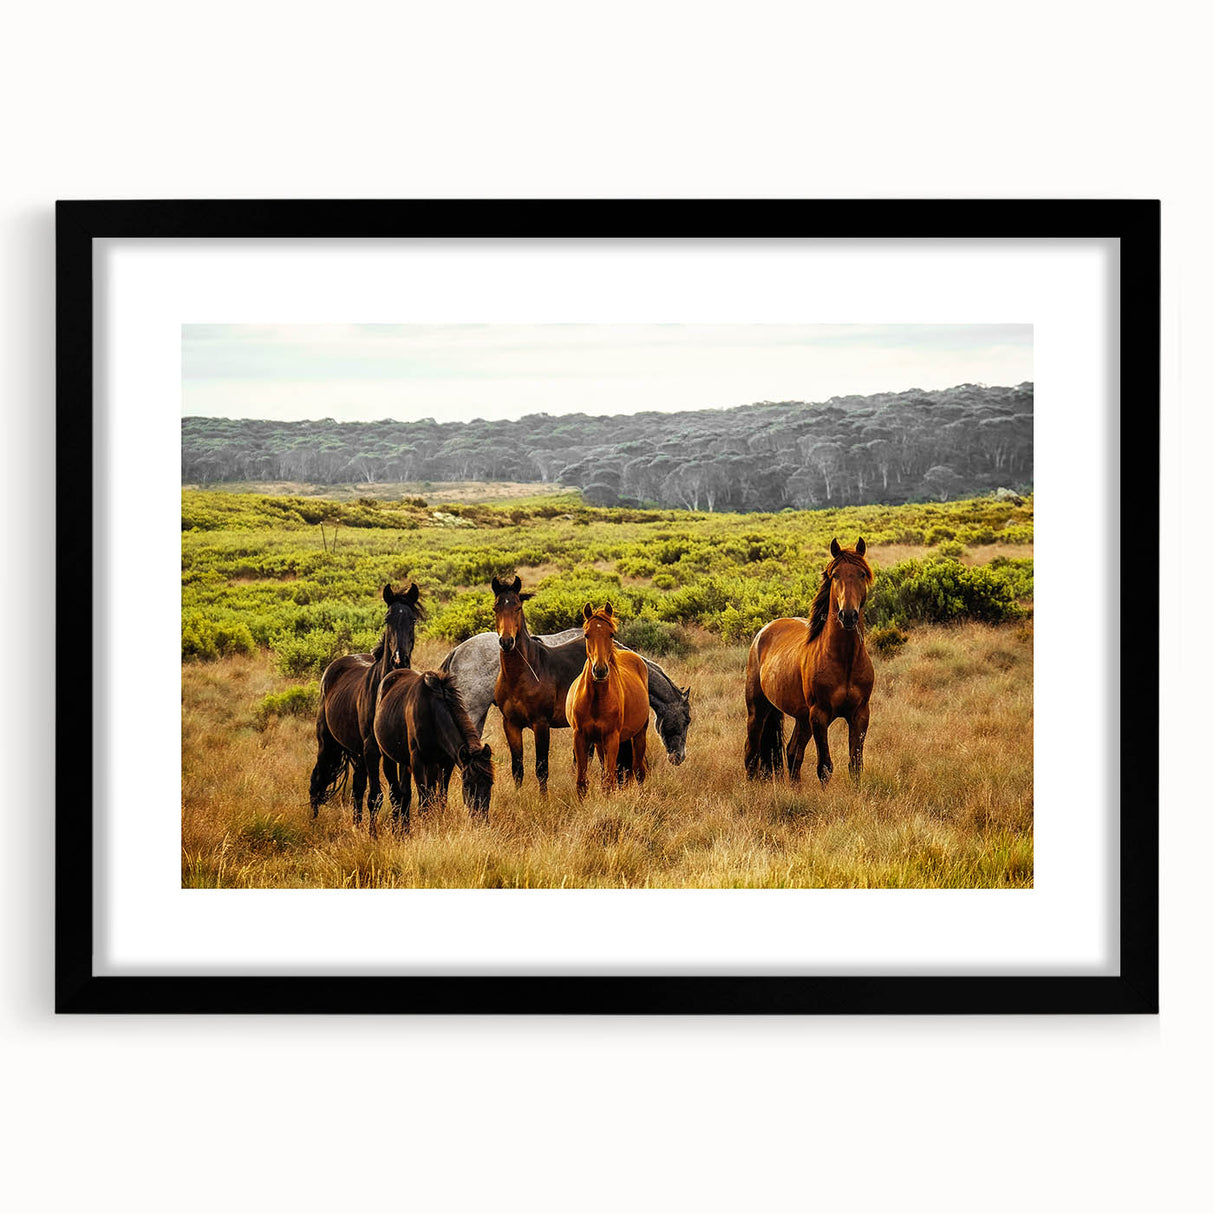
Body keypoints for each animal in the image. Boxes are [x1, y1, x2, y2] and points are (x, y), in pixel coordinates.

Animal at [309, 582, 422, 831]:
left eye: (413, 619)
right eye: (388, 618)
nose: (399, 659)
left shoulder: (398, 752)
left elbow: (402, 794)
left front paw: (403, 831)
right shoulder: (372, 749)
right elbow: (377, 796)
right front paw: (374, 835)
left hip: (357, 752)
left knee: (357, 788)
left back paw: (356, 825)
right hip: (328, 744)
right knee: (317, 781)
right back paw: (313, 823)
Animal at [373, 668, 494, 833]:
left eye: (490, 783)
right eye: (467, 784)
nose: (480, 819)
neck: (432, 713)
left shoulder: (446, 762)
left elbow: (440, 798)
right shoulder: (417, 761)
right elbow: (424, 801)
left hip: (411, 763)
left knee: (406, 793)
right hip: (388, 758)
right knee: (396, 794)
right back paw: (398, 829)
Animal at [565, 603, 650, 798]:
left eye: (611, 633)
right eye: (587, 634)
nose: (600, 670)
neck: (596, 700)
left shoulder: (612, 738)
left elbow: (609, 781)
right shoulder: (580, 737)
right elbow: (582, 782)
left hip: (639, 734)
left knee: (639, 771)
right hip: (599, 743)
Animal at [744, 538, 874, 785]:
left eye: (862, 574)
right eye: (835, 575)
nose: (848, 615)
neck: (845, 660)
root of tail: (763, 632)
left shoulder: (860, 714)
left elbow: (856, 765)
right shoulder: (819, 716)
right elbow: (825, 767)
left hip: (802, 717)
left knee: (793, 751)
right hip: (758, 709)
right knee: (751, 751)